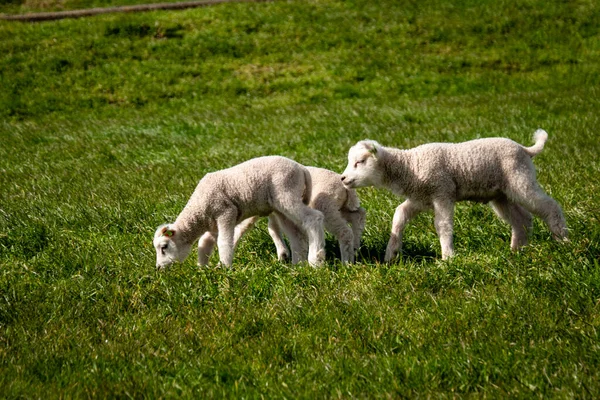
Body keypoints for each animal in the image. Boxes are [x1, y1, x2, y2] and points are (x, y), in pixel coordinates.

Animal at [152, 156, 326, 268]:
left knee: (314, 218)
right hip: (281, 206)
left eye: (164, 247)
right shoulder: (212, 224)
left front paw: (224, 267)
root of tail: (301, 169)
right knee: (295, 234)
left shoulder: (225, 212)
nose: (158, 268)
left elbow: (223, 242)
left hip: (286, 193)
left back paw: (315, 261)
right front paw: (203, 269)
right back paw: (297, 265)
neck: (199, 210)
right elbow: (204, 243)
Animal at [233, 166, 366, 264]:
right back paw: (355, 247)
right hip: (340, 207)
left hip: (325, 205)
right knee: (358, 214)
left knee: (344, 231)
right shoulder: (275, 211)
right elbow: (273, 228)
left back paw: (346, 262)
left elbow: (243, 226)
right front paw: (283, 254)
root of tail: (347, 189)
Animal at [340, 129, 568, 262]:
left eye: (360, 162)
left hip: (520, 179)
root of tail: (525, 149)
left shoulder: (442, 192)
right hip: (502, 194)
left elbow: (443, 225)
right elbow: (399, 215)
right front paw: (391, 254)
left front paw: (447, 257)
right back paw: (516, 251)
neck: (411, 166)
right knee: (522, 218)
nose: (342, 178)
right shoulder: (420, 198)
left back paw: (563, 240)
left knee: (549, 206)